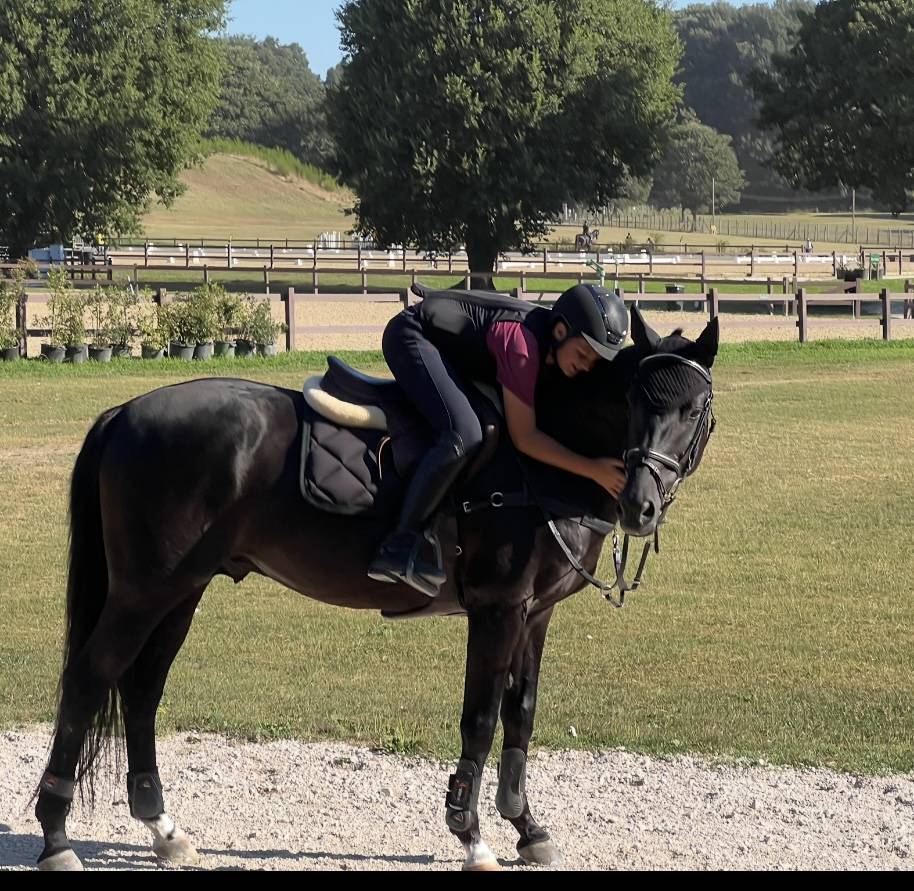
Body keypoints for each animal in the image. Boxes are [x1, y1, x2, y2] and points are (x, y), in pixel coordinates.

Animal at [33, 306, 719, 871]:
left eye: (692, 411)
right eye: (636, 402)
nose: (640, 505)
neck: (545, 456)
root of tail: (125, 413)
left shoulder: (535, 613)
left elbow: (520, 716)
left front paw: (528, 828)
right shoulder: (498, 610)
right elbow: (480, 718)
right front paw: (471, 836)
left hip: (182, 590)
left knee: (142, 689)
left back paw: (163, 828)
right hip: (143, 592)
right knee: (90, 677)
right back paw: (56, 836)